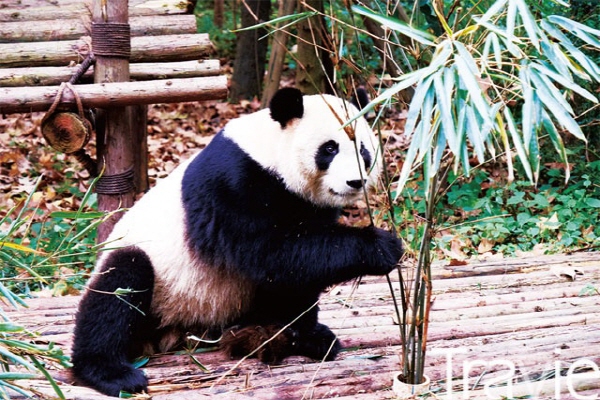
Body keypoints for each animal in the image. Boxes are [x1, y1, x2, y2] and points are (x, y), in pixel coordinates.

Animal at [70, 88, 404, 396]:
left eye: (362, 148)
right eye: (330, 148)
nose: (355, 182)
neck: (270, 155)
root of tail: (171, 334)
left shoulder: (306, 204)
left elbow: (297, 275)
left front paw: (309, 336)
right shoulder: (235, 183)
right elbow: (270, 252)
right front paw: (381, 246)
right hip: (153, 280)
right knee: (118, 288)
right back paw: (112, 374)